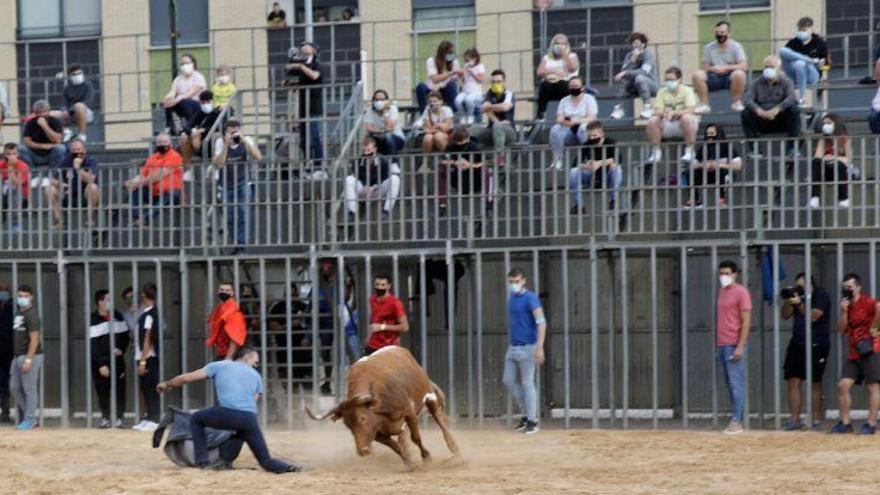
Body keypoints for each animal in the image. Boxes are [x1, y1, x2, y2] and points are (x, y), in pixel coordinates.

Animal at [308, 346, 460, 466]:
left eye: (363, 418)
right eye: (347, 425)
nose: (363, 451)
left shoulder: (409, 412)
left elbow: (416, 437)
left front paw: (427, 457)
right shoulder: (376, 433)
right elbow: (395, 446)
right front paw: (409, 462)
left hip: (429, 396)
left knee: (438, 418)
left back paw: (454, 448)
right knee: (403, 436)